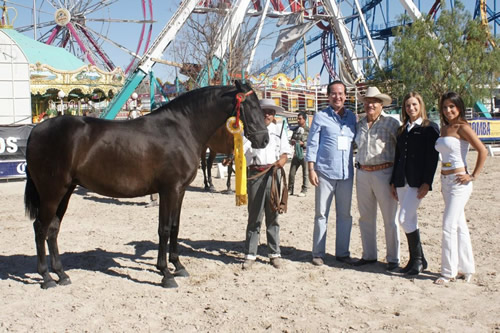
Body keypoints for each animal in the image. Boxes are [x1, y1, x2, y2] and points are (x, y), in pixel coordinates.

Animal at [24, 80, 268, 288]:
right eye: (250, 105)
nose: (264, 139)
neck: (182, 128)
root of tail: (36, 130)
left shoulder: (179, 191)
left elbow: (175, 227)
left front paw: (178, 266)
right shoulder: (168, 190)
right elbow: (164, 229)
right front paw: (166, 274)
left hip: (65, 191)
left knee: (53, 229)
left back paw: (61, 274)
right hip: (51, 193)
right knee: (40, 228)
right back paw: (46, 277)